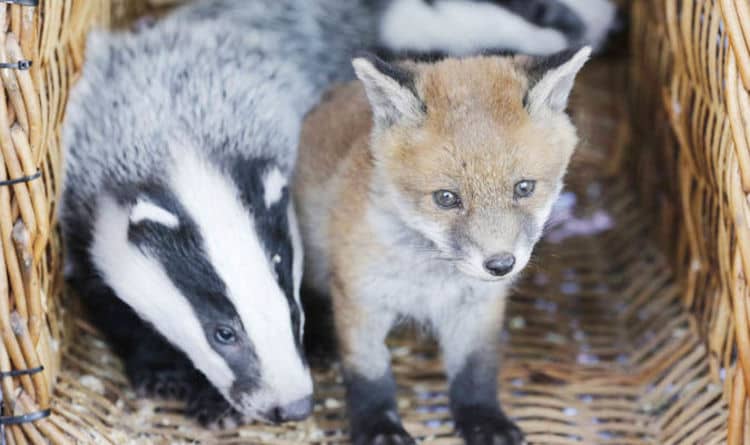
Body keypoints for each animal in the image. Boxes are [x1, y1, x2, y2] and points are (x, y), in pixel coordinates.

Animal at [294, 47, 590, 445]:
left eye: (524, 188)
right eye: (447, 198)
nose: (500, 265)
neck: (432, 282)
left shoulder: (479, 308)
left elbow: (474, 372)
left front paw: (484, 421)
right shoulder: (360, 299)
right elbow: (369, 374)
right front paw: (379, 427)